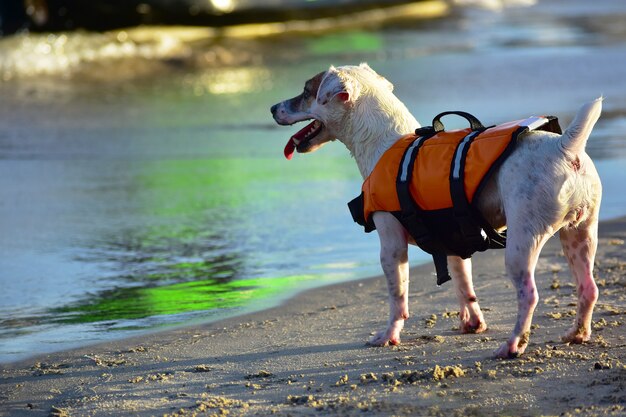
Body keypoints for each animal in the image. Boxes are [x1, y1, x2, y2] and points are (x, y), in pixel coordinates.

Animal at [268, 63, 600, 356]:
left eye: (306, 91)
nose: (272, 108)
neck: (385, 143)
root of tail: (565, 149)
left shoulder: (391, 246)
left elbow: (397, 297)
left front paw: (388, 335)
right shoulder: (454, 245)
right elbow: (464, 287)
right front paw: (472, 324)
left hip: (523, 242)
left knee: (529, 295)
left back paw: (512, 345)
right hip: (580, 234)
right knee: (588, 287)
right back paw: (577, 334)